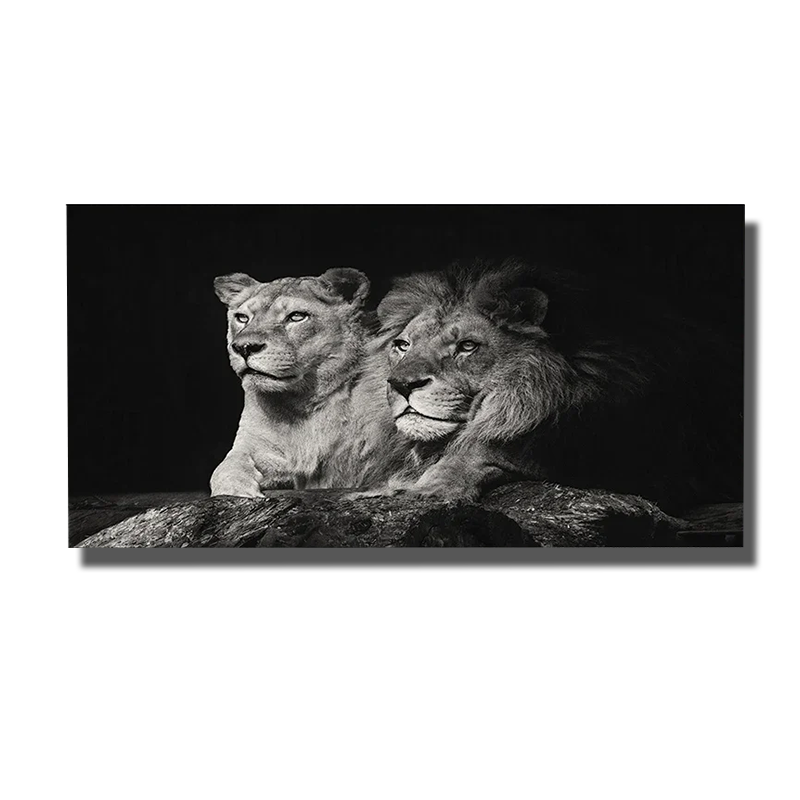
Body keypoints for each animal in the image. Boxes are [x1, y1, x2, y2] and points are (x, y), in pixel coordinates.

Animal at [210, 268, 410, 497]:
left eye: (297, 316)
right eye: (242, 318)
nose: (244, 347)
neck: (302, 403)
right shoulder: (254, 444)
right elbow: (226, 467)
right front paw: (237, 491)